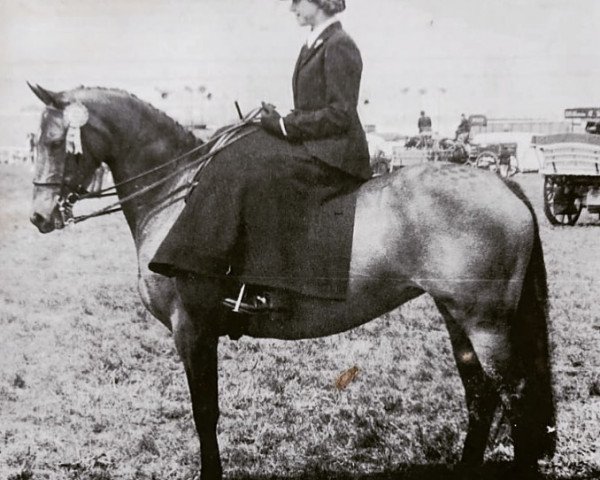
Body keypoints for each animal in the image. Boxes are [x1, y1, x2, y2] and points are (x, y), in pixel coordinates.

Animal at [27, 84, 552, 478]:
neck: (178, 192)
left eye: (55, 142)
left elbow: (205, 414)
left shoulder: (192, 329)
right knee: (480, 394)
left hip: (487, 324)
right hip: (456, 317)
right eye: (33, 143)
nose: (38, 217)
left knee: (517, 400)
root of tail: (501, 182)